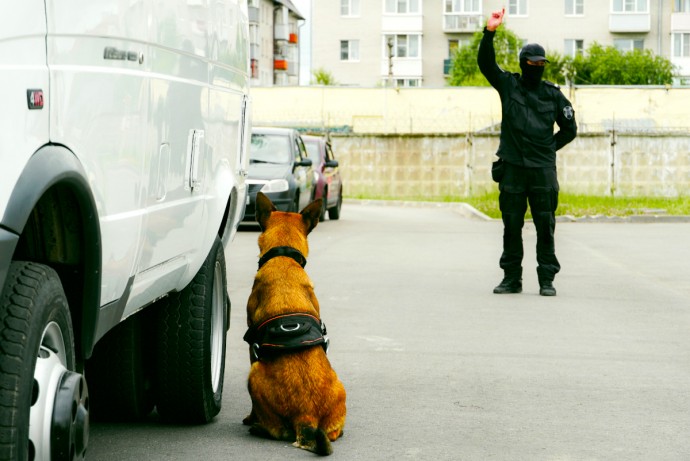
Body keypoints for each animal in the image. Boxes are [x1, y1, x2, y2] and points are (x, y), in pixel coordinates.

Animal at [243, 191, 346, 456]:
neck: (283, 258)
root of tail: (306, 417)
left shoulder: (251, 346)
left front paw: (250, 418)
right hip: (340, 388)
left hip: (254, 372)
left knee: (275, 430)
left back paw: (257, 427)